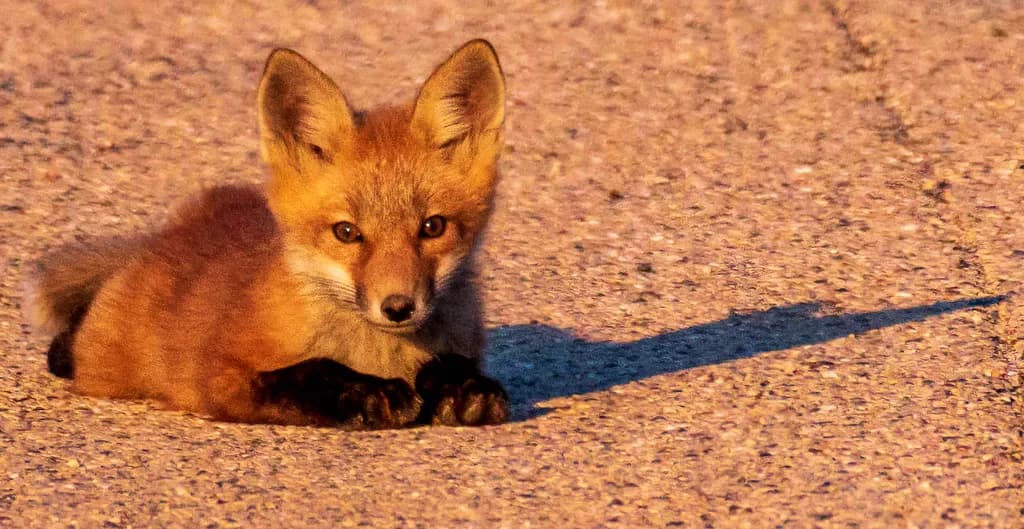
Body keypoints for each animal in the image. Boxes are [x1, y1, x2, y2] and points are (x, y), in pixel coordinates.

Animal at [23, 39, 510, 429]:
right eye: (346, 232)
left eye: (433, 227)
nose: (398, 307)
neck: (382, 354)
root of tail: (174, 228)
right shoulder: (219, 376)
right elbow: (308, 371)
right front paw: (367, 392)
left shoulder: (465, 345)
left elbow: (452, 364)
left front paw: (465, 387)